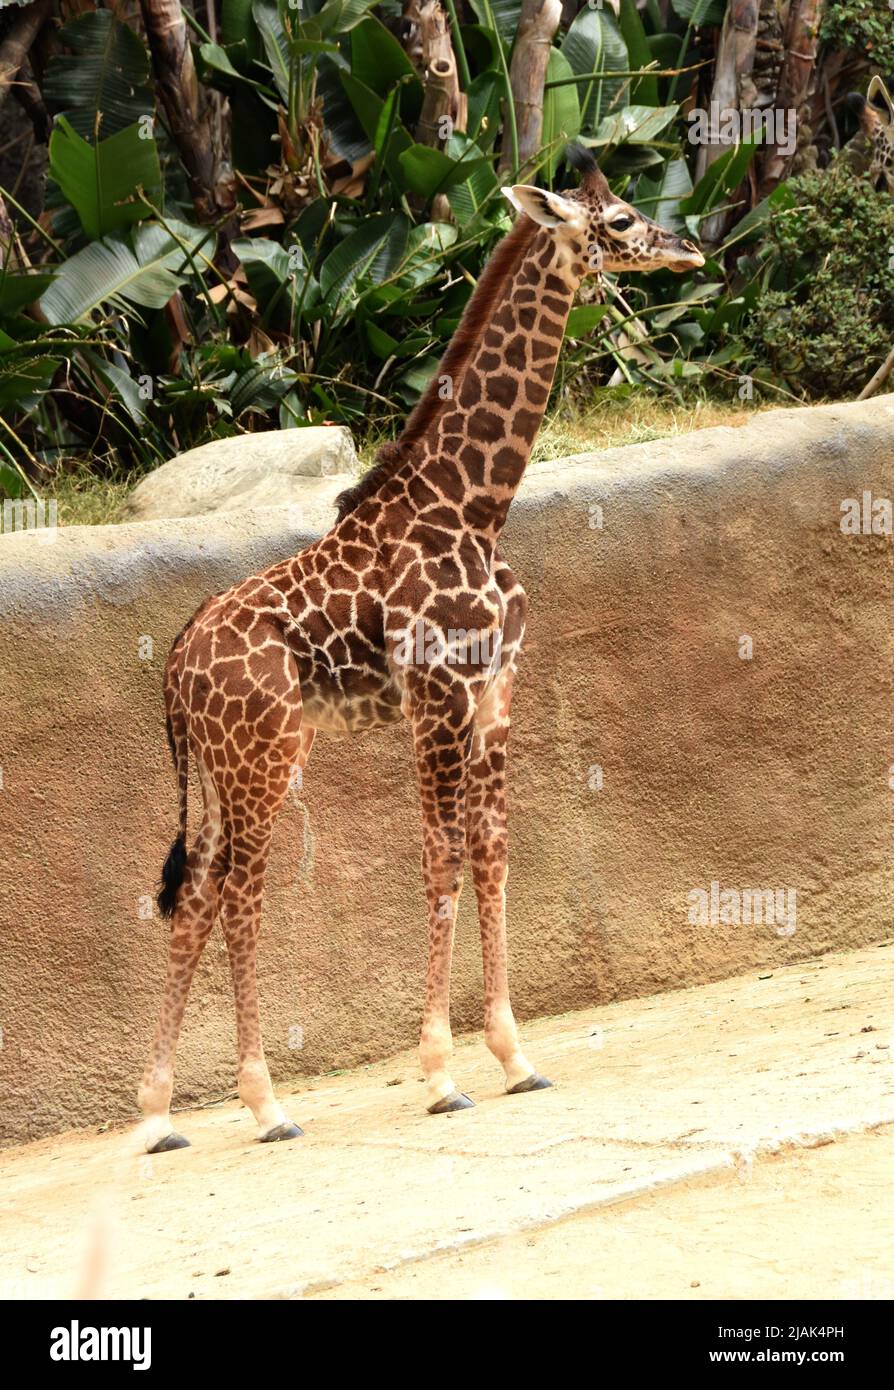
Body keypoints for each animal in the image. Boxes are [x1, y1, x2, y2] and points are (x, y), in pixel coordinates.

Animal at [138, 145, 705, 1152]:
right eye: (621, 221)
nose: (691, 249)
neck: (475, 506)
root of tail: (175, 660)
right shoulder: (435, 697)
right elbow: (439, 859)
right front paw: (441, 1076)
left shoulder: (498, 690)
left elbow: (492, 853)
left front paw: (515, 1058)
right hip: (261, 754)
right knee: (239, 894)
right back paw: (266, 1105)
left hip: (226, 766)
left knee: (197, 894)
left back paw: (163, 1113)